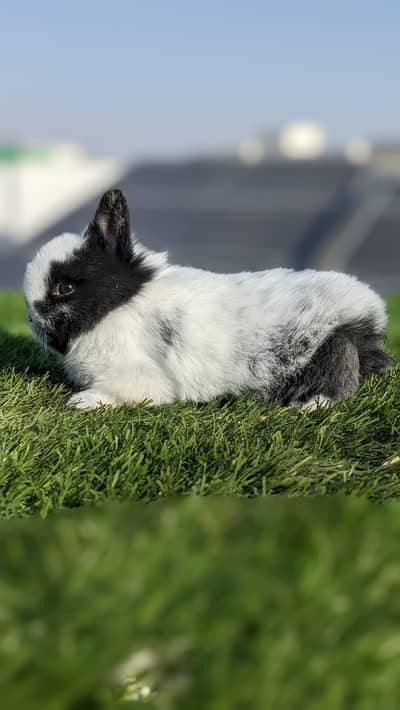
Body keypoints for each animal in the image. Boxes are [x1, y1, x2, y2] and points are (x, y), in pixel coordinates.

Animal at [23, 189, 393, 410]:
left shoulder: (139, 378)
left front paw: (83, 401)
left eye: (66, 288)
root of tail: (369, 316)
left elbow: (121, 392)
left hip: (329, 348)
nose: (31, 317)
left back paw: (306, 405)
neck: (118, 305)